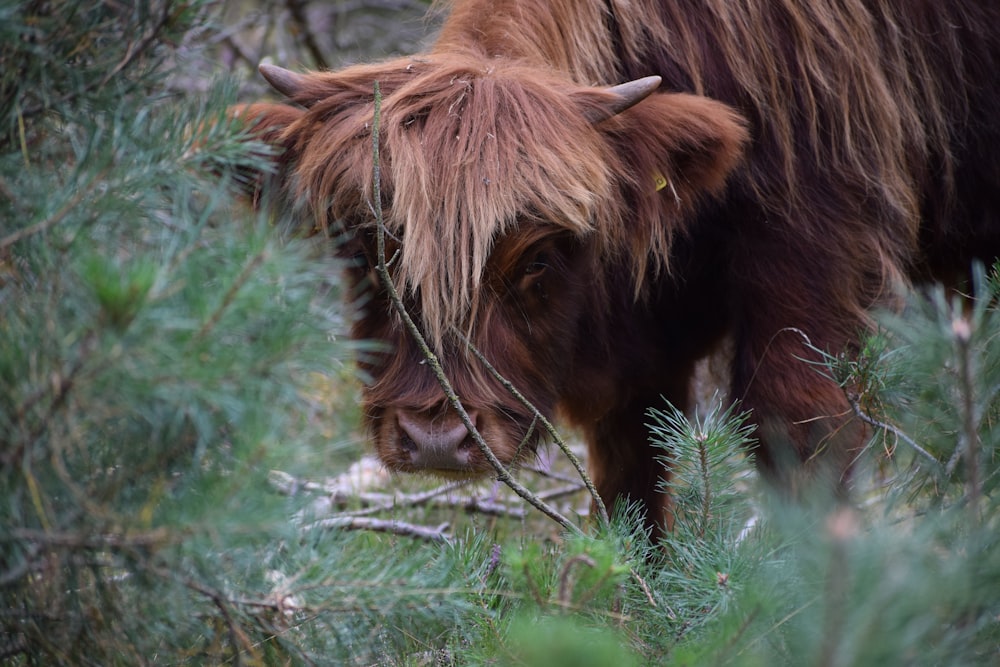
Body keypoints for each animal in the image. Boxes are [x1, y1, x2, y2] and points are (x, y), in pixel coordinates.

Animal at [236, 0, 1000, 532]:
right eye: (364, 246)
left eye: (538, 258)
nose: (436, 439)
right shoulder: (636, 359)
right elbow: (632, 489)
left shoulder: (819, 258)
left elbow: (802, 435)